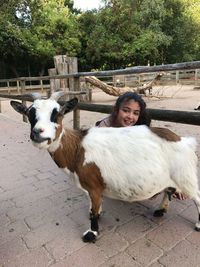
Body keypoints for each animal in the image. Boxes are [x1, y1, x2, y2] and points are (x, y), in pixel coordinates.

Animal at [10, 92, 200, 245]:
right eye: (30, 114)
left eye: (57, 114)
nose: (37, 133)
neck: (77, 149)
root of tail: (184, 141)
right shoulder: (91, 189)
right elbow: (93, 206)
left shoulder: (94, 185)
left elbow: (94, 211)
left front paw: (92, 233)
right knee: (168, 190)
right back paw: (161, 210)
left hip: (186, 177)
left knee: (197, 197)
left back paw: (197, 224)